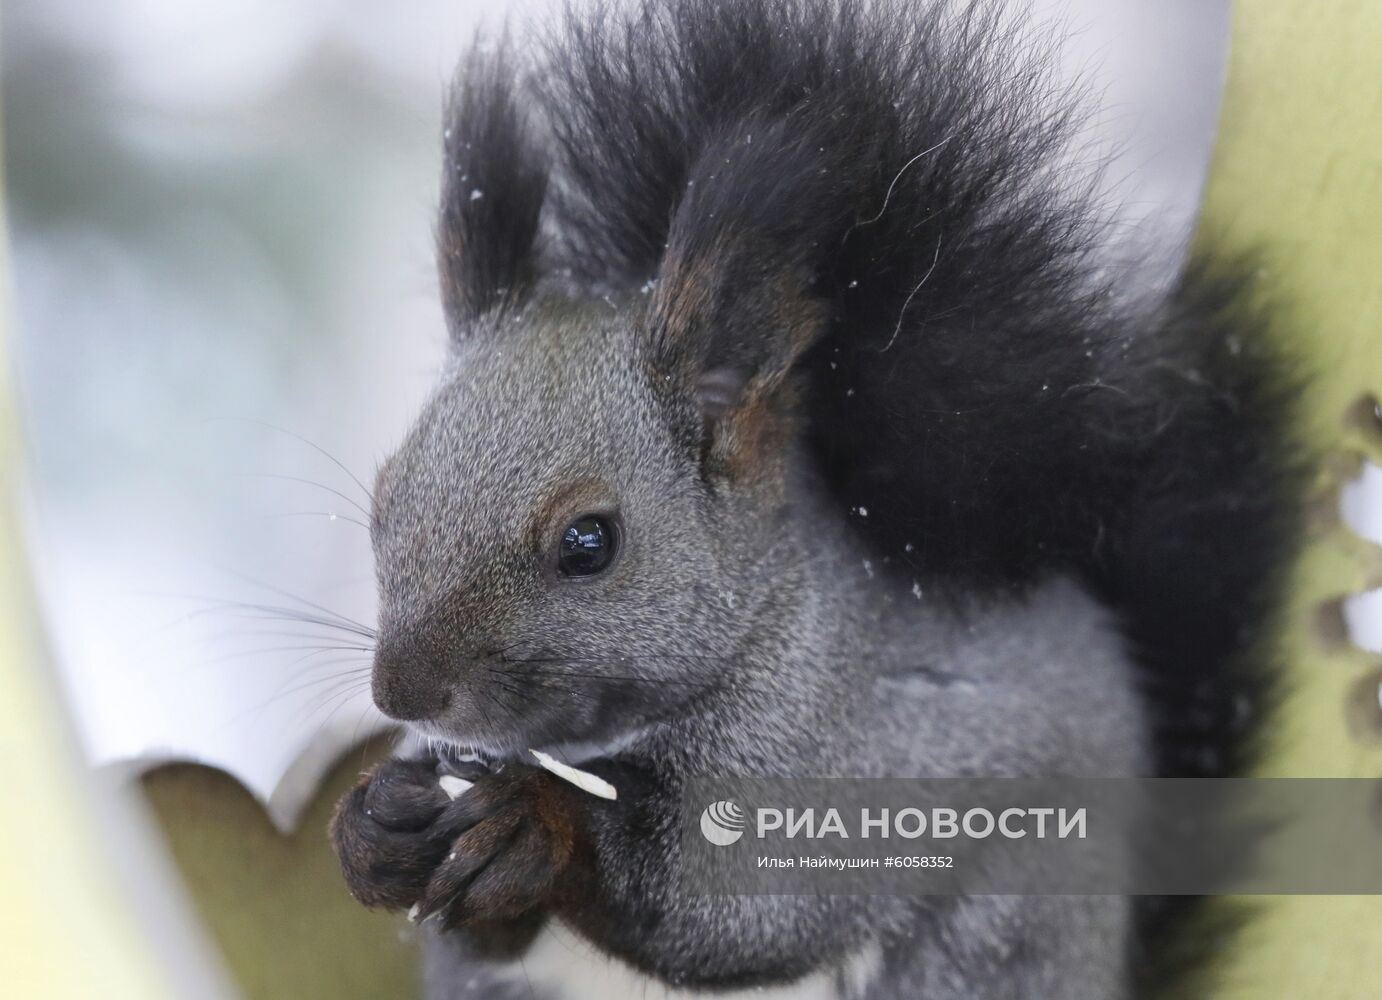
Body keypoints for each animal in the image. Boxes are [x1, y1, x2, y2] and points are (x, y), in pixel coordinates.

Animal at [328, 1, 1299, 1000]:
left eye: (590, 542)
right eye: (383, 501)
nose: (402, 691)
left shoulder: (845, 756)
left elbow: (734, 905)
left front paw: (536, 819)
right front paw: (370, 827)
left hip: (1000, 936)